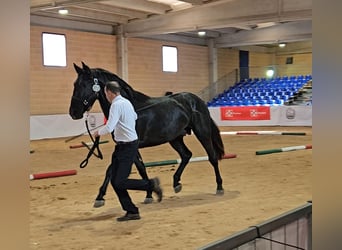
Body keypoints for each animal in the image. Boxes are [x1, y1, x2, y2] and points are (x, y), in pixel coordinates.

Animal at [68, 61, 226, 206]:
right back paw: (176, 183)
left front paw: (148, 194)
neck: (129, 107)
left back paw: (219, 187)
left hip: (202, 133)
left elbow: (131, 169)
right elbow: (121, 169)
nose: (73, 113)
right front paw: (101, 197)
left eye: (83, 85)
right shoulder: (123, 145)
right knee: (186, 155)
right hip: (175, 138)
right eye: (75, 84)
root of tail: (197, 100)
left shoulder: (132, 144)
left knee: (212, 157)